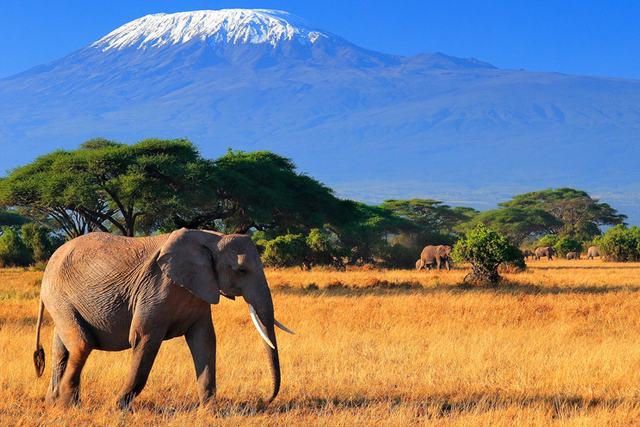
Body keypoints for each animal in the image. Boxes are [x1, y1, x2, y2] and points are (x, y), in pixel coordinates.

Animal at [33, 231, 294, 412]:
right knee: (81, 344)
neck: (212, 239)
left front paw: (211, 412)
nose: (265, 399)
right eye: (241, 270)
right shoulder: (156, 287)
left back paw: (56, 403)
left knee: (62, 349)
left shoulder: (199, 290)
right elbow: (144, 339)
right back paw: (66, 404)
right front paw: (117, 408)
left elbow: (204, 341)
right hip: (58, 296)